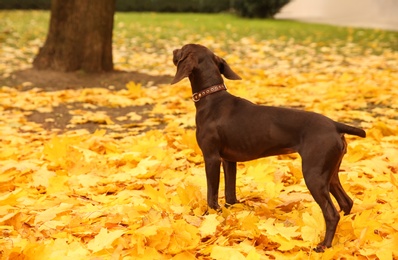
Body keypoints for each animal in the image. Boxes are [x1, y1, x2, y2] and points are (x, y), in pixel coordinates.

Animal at [169, 44, 366, 252]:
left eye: (182, 49)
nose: (173, 50)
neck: (213, 100)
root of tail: (335, 125)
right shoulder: (229, 160)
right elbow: (230, 194)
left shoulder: (211, 158)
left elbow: (212, 195)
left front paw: (210, 217)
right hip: (330, 174)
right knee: (346, 202)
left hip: (314, 176)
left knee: (332, 213)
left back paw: (324, 246)